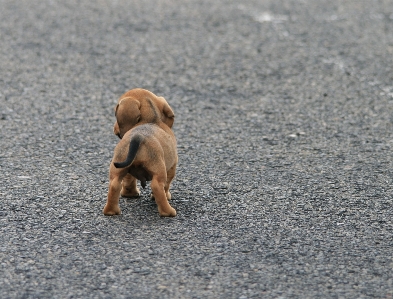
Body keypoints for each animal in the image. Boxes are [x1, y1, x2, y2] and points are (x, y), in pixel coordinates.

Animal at [104, 89, 178, 218]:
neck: (151, 119)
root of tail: (138, 137)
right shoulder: (172, 166)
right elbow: (167, 185)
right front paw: (166, 196)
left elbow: (129, 181)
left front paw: (130, 193)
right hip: (159, 171)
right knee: (157, 187)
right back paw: (168, 212)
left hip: (117, 168)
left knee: (114, 185)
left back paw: (111, 211)